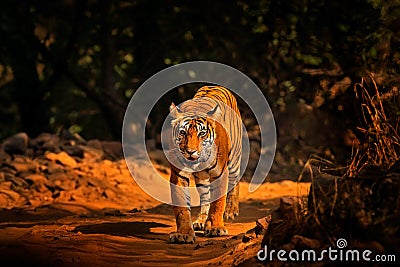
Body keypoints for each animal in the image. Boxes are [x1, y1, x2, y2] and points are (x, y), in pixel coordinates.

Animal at [168, 86, 242, 245]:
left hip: (234, 159)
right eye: (182, 133)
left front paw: (215, 228)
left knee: (235, 182)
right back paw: (201, 220)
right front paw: (183, 234)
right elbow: (182, 207)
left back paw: (231, 210)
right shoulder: (178, 175)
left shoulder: (220, 173)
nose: (190, 151)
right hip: (201, 179)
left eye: (202, 134)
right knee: (205, 197)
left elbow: (218, 203)